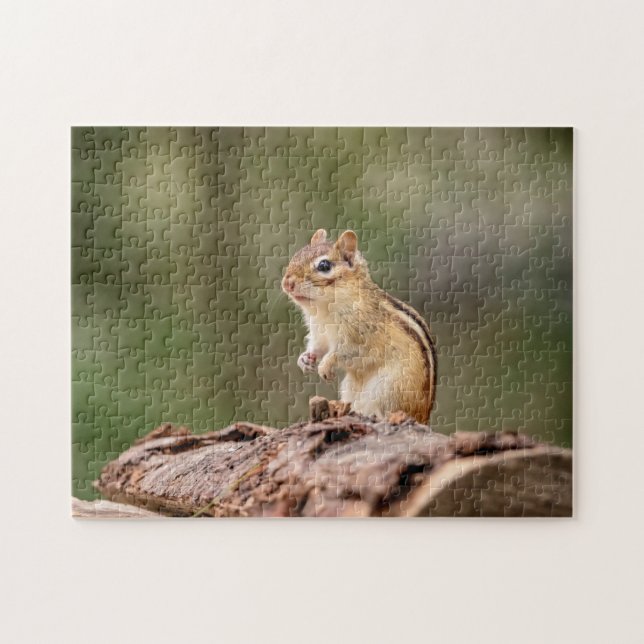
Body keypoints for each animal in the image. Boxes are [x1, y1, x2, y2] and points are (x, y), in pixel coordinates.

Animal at [282, 229, 437, 424]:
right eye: (296, 255)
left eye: (324, 265)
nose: (287, 283)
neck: (324, 310)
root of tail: (423, 417)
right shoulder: (319, 332)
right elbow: (318, 346)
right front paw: (305, 359)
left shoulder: (361, 337)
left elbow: (344, 352)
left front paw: (325, 365)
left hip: (388, 389)